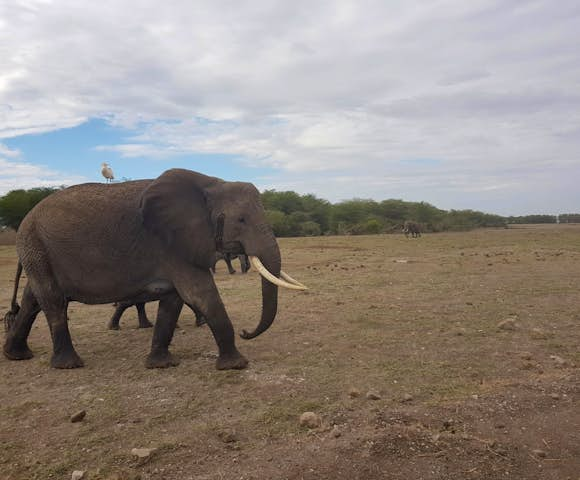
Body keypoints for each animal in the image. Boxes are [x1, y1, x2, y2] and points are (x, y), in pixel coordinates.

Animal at [2, 169, 308, 372]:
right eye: (241, 220)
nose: (247, 331)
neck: (210, 183)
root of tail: (26, 218)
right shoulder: (171, 244)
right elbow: (201, 295)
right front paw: (236, 365)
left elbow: (173, 302)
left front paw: (162, 364)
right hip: (35, 245)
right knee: (53, 301)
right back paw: (69, 365)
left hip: (37, 252)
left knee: (32, 301)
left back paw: (17, 356)